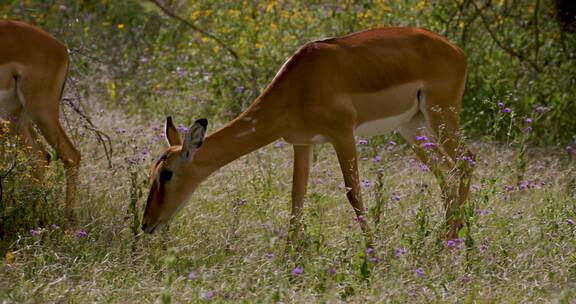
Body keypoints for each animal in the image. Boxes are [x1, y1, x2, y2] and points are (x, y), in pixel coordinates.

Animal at [142, 28, 474, 242]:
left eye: (167, 174)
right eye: (153, 172)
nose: (146, 224)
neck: (301, 83)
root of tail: (458, 50)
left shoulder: (343, 136)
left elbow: (354, 194)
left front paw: (374, 252)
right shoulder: (301, 143)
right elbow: (296, 198)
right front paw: (289, 260)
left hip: (441, 116)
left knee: (466, 161)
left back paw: (451, 241)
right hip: (411, 128)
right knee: (445, 171)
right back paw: (443, 236)